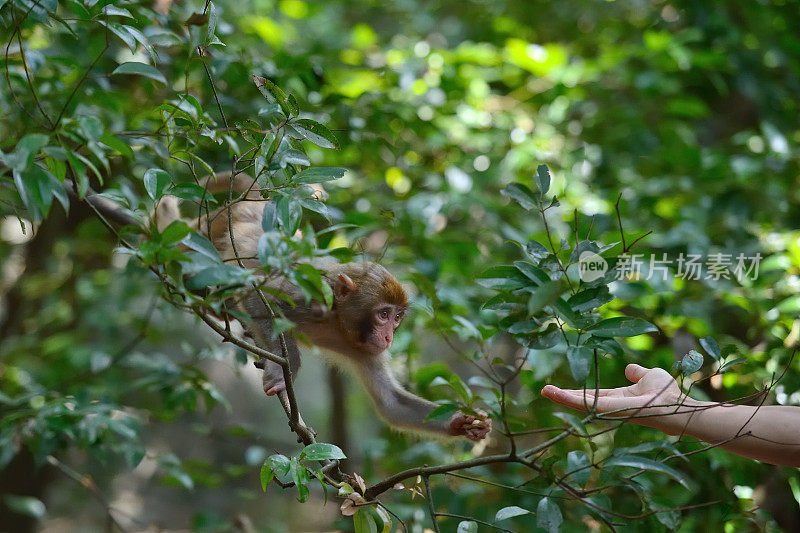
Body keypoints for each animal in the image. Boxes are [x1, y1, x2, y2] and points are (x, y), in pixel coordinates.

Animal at [86, 171, 494, 440]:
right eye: (383, 314)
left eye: (397, 319)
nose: (389, 336)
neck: (338, 321)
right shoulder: (307, 294)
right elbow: (258, 298)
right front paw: (284, 372)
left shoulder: (365, 349)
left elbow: (391, 403)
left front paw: (462, 423)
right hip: (212, 227)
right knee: (192, 244)